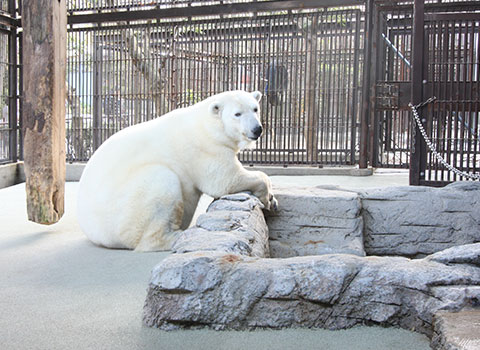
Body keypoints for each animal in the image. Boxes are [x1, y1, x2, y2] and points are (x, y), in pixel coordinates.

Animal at [78, 90, 278, 252]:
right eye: (237, 113)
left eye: (255, 109)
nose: (257, 129)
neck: (208, 125)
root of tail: (93, 231)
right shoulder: (206, 148)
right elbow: (225, 180)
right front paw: (267, 198)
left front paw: (273, 200)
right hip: (125, 207)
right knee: (161, 183)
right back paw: (180, 236)